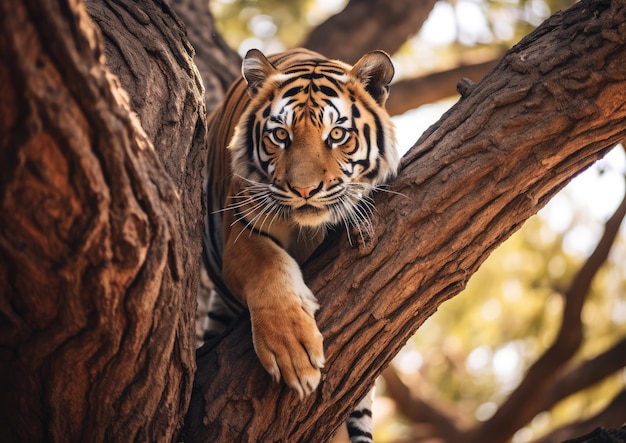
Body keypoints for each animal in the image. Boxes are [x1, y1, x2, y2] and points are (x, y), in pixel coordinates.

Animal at [201, 46, 400, 442]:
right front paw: (293, 353)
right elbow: (268, 265)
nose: (305, 190)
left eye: (337, 134)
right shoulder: (242, 230)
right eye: (280, 135)